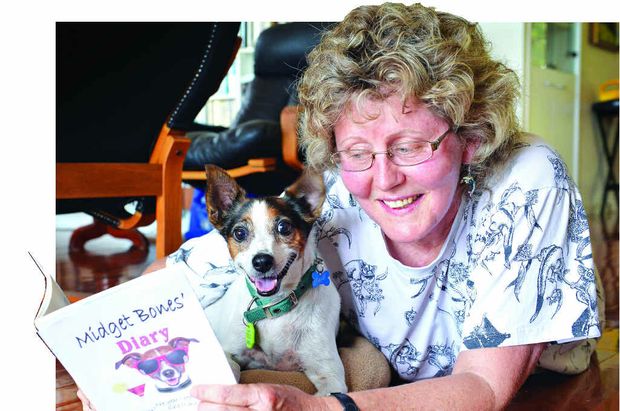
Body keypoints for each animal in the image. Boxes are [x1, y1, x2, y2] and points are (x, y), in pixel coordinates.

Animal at [202, 165, 347, 396]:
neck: (275, 306)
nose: (262, 261)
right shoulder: (228, 351)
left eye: (284, 228)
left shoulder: (330, 376)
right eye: (239, 233)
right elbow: (231, 365)